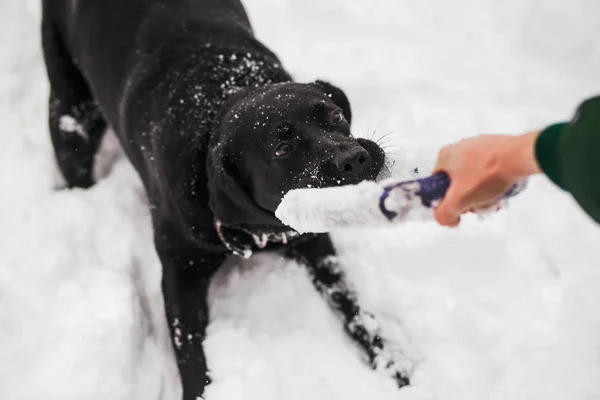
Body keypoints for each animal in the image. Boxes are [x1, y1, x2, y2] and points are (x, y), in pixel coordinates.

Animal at [41, 0, 408, 396]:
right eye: (282, 148)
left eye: (337, 116)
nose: (354, 159)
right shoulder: (180, 273)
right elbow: (190, 355)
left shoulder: (316, 244)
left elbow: (356, 310)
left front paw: (397, 370)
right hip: (71, 114)